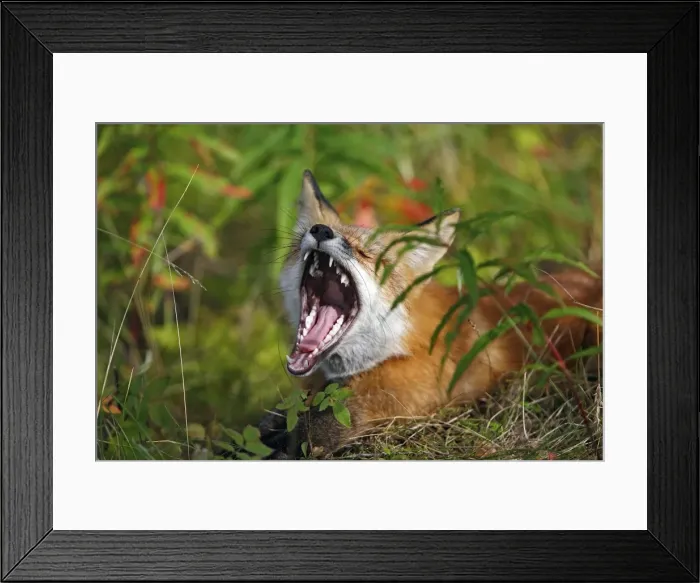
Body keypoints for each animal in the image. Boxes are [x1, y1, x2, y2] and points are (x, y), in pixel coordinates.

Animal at [259, 170, 602, 458]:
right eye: (307, 234)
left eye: (365, 253)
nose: (320, 230)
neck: (402, 345)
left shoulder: (416, 393)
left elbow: (327, 422)